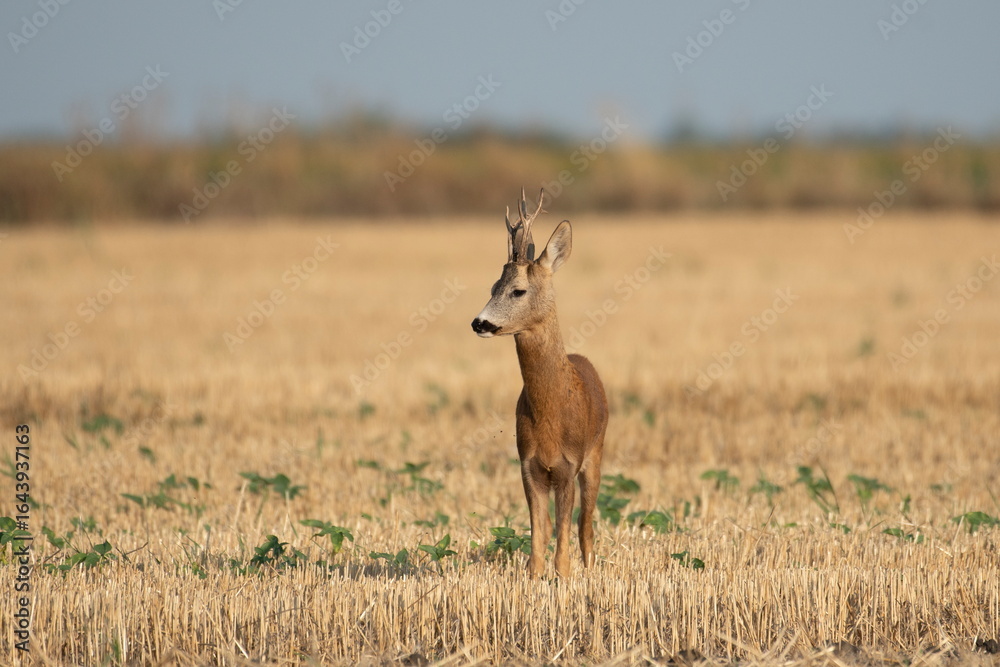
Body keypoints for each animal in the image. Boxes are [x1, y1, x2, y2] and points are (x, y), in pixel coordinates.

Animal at [471, 189, 609, 578]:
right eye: (492, 286)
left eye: (517, 291)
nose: (479, 322)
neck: (550, 413)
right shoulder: (528, 465)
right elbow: (538, 537)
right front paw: (535, 579)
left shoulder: (568, 465)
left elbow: (564, 535)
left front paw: (564, 579)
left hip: (597, 453)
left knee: (586, 525)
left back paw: (589, 570)